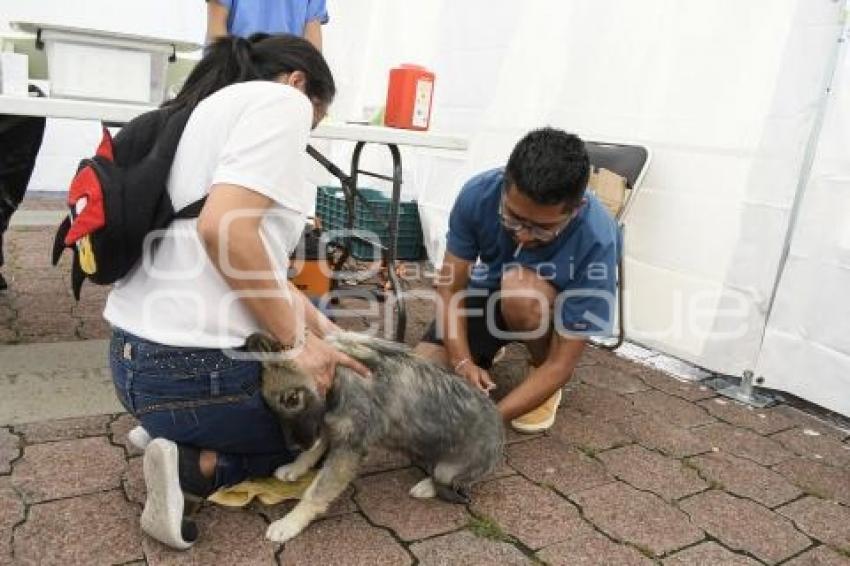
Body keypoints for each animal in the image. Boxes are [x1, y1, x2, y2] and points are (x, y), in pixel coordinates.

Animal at [248, 332, 506, 544]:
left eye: (292, 399)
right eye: (271, 409)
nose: (292, 446)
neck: (338, 375)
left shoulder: (349, 446)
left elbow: (317, 490)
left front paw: (289, 523)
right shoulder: (329, 425)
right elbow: (315, 448)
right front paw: (295, 467)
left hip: (450, 469)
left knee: (453, 480)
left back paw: (426, 486)